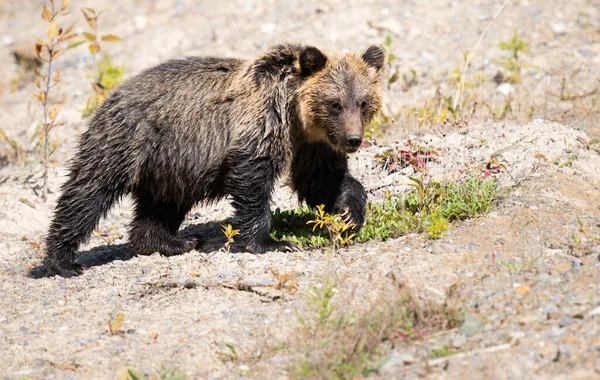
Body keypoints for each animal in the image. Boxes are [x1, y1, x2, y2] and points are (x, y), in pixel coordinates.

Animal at [43, 43, 384, 278]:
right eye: (335, 103)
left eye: (363, 102)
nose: (353, 139)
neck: (297, 116)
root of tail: (109, 96)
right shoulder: (263, 123)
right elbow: (252, 178)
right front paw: (271, 242)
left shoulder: (313, 144)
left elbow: (321, 180)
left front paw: (349, 215)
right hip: (127, 141)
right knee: (88, 191)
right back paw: (63, 260)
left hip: (170, 164)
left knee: (162, 203)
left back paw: (172, 242)